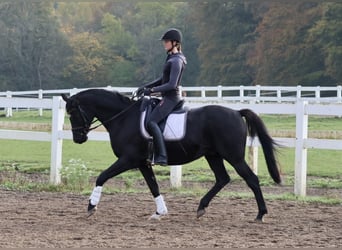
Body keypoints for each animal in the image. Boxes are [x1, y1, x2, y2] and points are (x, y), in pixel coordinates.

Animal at [62, 89, 280, 222]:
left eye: (73, 113)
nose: (78, 138)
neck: (123, 118)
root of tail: (236, 112)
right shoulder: (142, 162)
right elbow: (153, 186)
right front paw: (160, 212)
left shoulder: (128, 159)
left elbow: (102, 176)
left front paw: (91, 207)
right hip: (213, 155)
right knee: (222, 179)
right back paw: (201, 207)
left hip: (233, 156)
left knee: (251, 179)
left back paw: (261, 214)